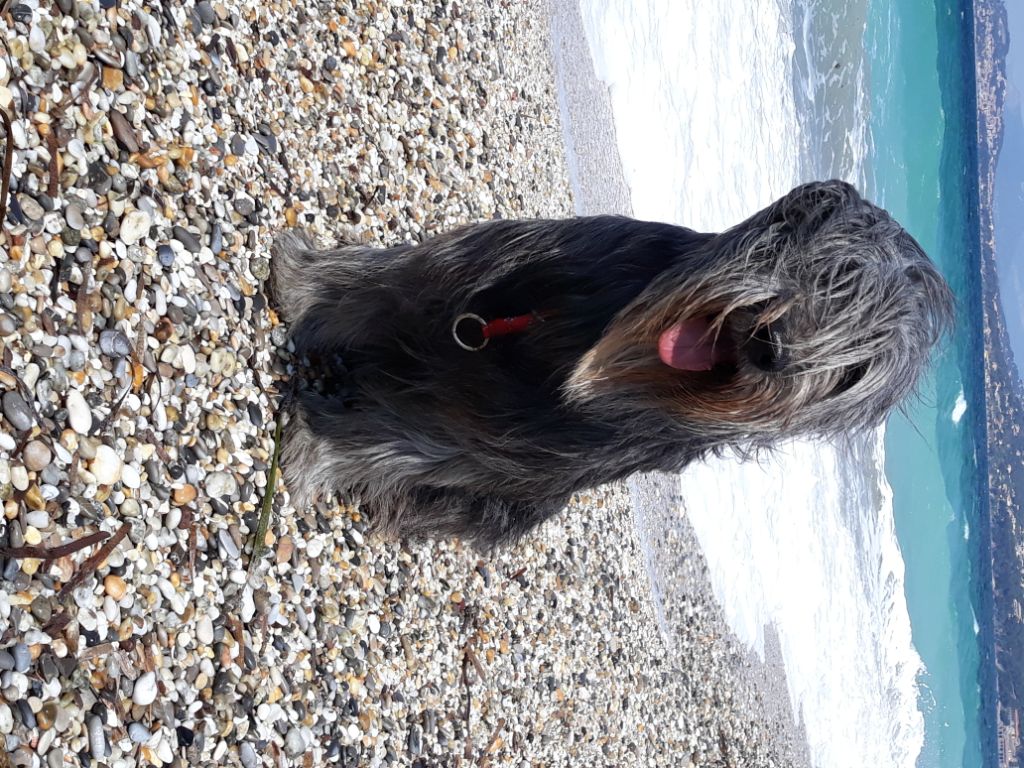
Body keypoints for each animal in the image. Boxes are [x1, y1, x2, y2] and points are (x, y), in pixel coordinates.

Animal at [270, 180, 950, 548]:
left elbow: (407, 442)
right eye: (835, 276)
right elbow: (379, 285)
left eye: (852, 372)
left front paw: (310, 453)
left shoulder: (505, 445)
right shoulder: (473, 276)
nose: (773, 350)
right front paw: (302, 281)